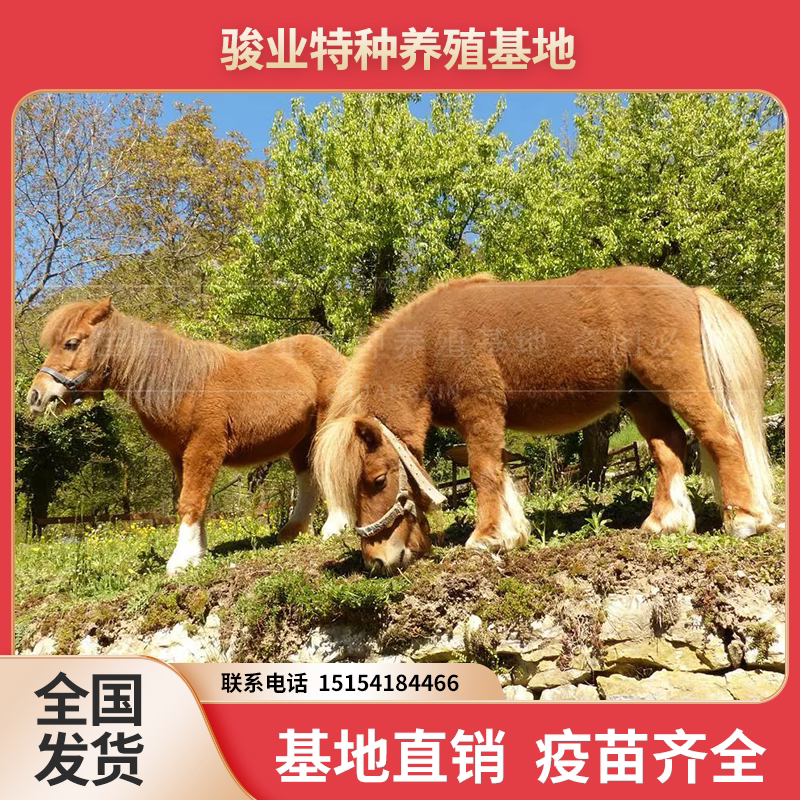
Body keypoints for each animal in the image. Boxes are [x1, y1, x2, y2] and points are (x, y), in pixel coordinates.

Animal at [27, 297, 348, 574]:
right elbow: (195, 500)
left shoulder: (203, 448)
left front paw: (181, 560)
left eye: (71, 343)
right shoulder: (180, 456)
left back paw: (334, 528)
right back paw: (294, 531)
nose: (36, 395)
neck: (182, 385)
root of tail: (332, 354)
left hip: (324, 426)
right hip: (300, 440)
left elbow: (191, 501)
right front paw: (197, 554)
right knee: (308, 477)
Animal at [313, 265, 773, 574]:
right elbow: (499, 471)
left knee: (720, 434)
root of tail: (688, 291)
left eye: (376, 480)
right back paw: (665, 522)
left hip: (678, 383)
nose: (376, 561)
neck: (431, 345)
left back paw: (745, 519)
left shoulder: (479, 407)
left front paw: (486, 538)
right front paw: (512, 532)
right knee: (670, 446)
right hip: (641, 397)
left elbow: (483, 471)